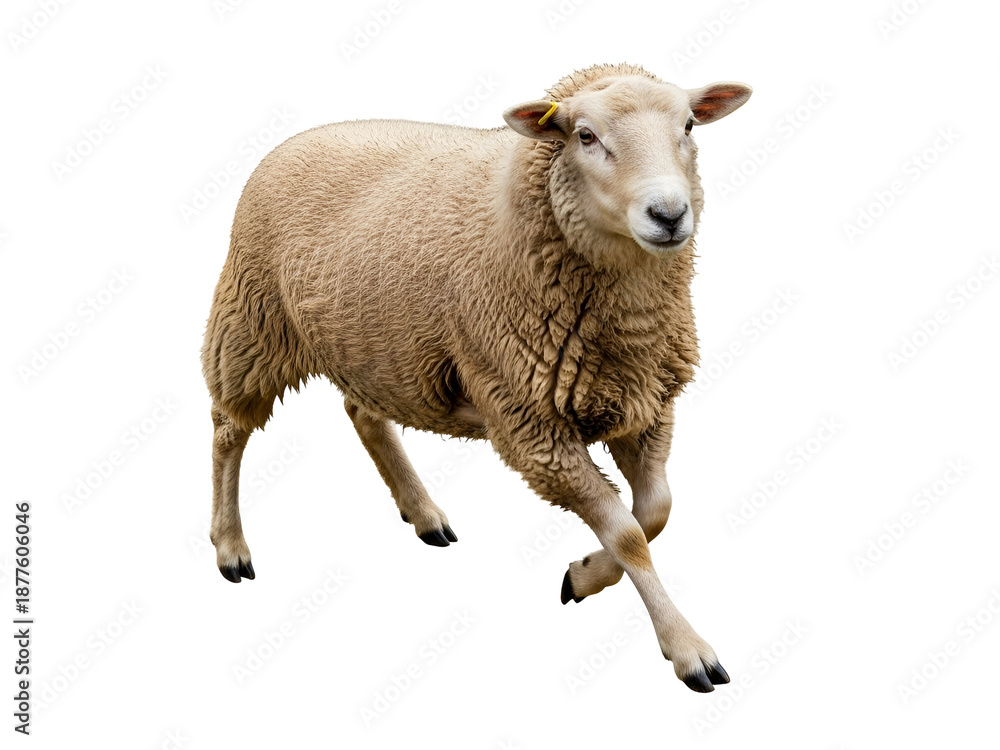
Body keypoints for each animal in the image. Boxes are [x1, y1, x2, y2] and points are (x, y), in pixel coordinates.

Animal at [201, 62, 751, 692]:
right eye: (585, 136)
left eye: (688, 126)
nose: (668, 215)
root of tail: (300, 137)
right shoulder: (533, 427)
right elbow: (629, 533)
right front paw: (688, 649)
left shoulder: (646, 401)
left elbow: (656, 510)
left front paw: (584, 575)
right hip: (251, 322)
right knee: (228, 432)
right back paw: (230, 546)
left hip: (376, 345)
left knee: (363, 414)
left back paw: (423, 514)